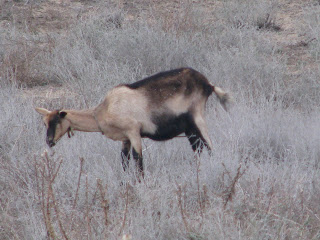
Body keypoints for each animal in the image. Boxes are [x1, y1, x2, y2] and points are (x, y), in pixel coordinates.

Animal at [35, 67, 230, 176]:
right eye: (45, 123)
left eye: (56, 122)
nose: (49, 142)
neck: (103, 110)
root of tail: (208, 84)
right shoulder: (125, 138)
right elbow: (124, 161)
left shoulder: (134, 132)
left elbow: (138, 161)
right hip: (189, 129)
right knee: (199, 148)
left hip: (197, 118)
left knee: (209, 146)